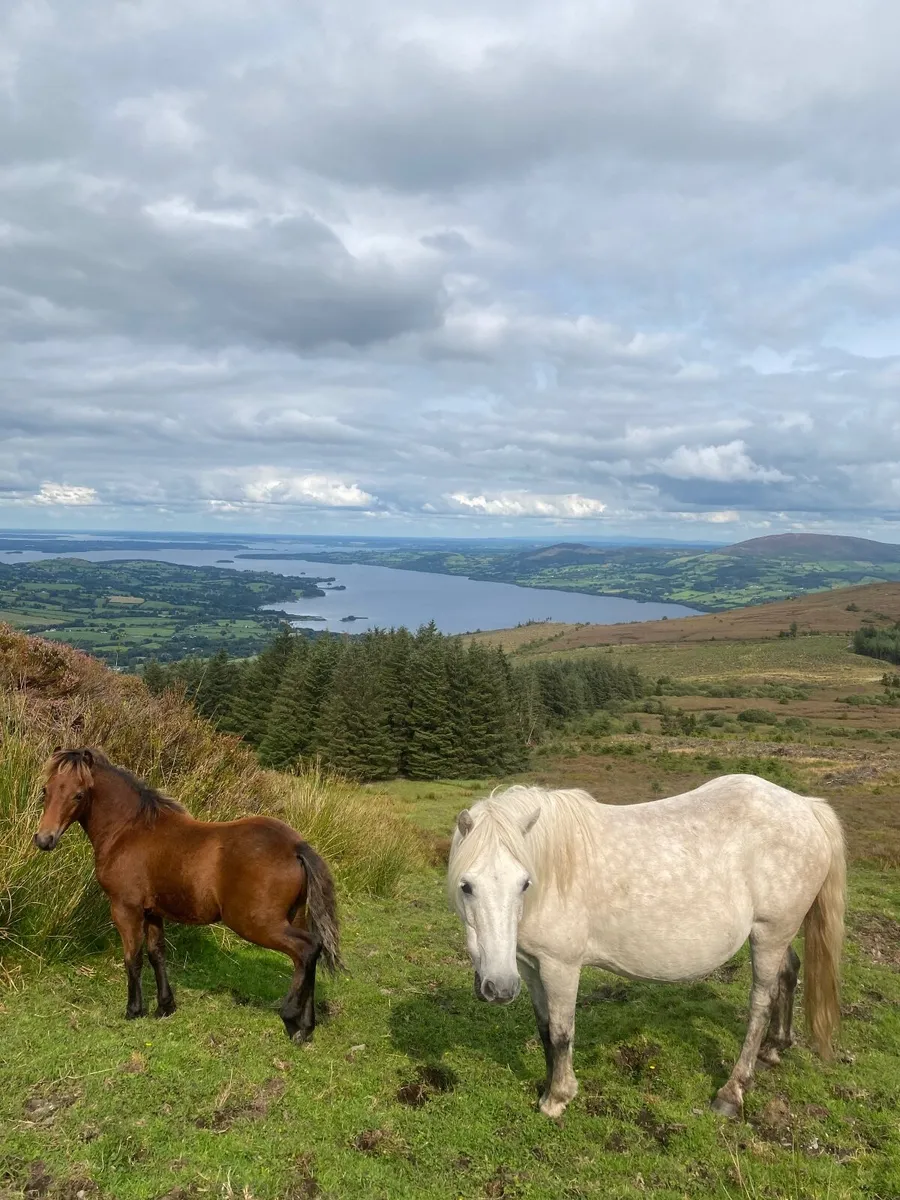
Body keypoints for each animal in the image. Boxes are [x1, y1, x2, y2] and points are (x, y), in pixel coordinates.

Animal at [34, 748, 341, 1043]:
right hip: (293, 917)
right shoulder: (153, 912)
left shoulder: (125, 908)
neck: (129, 830)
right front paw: (164, 1006)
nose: (44, 839)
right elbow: (156, 954)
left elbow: (133, 958)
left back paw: (291, 1019)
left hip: (258, 924)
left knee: (306, 949)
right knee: (308, 956)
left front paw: (134, 1010)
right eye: (46, 790)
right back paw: (306, 1026)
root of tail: (295, 847)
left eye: (79, 794)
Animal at [447, 776, 845, 1119]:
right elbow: (544, 1028)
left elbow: (561, 1033)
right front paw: (549, 1087)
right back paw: (774, 1049)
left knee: (761, 1002)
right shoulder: (530, 968)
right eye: (467, 886)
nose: (498, 988)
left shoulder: (561, 966)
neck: (554, 871)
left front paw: (557, 1098)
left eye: (524, 883)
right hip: (776, 934)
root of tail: (806, 806)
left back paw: (732, 1092)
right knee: (788, 973)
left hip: (770, 933)